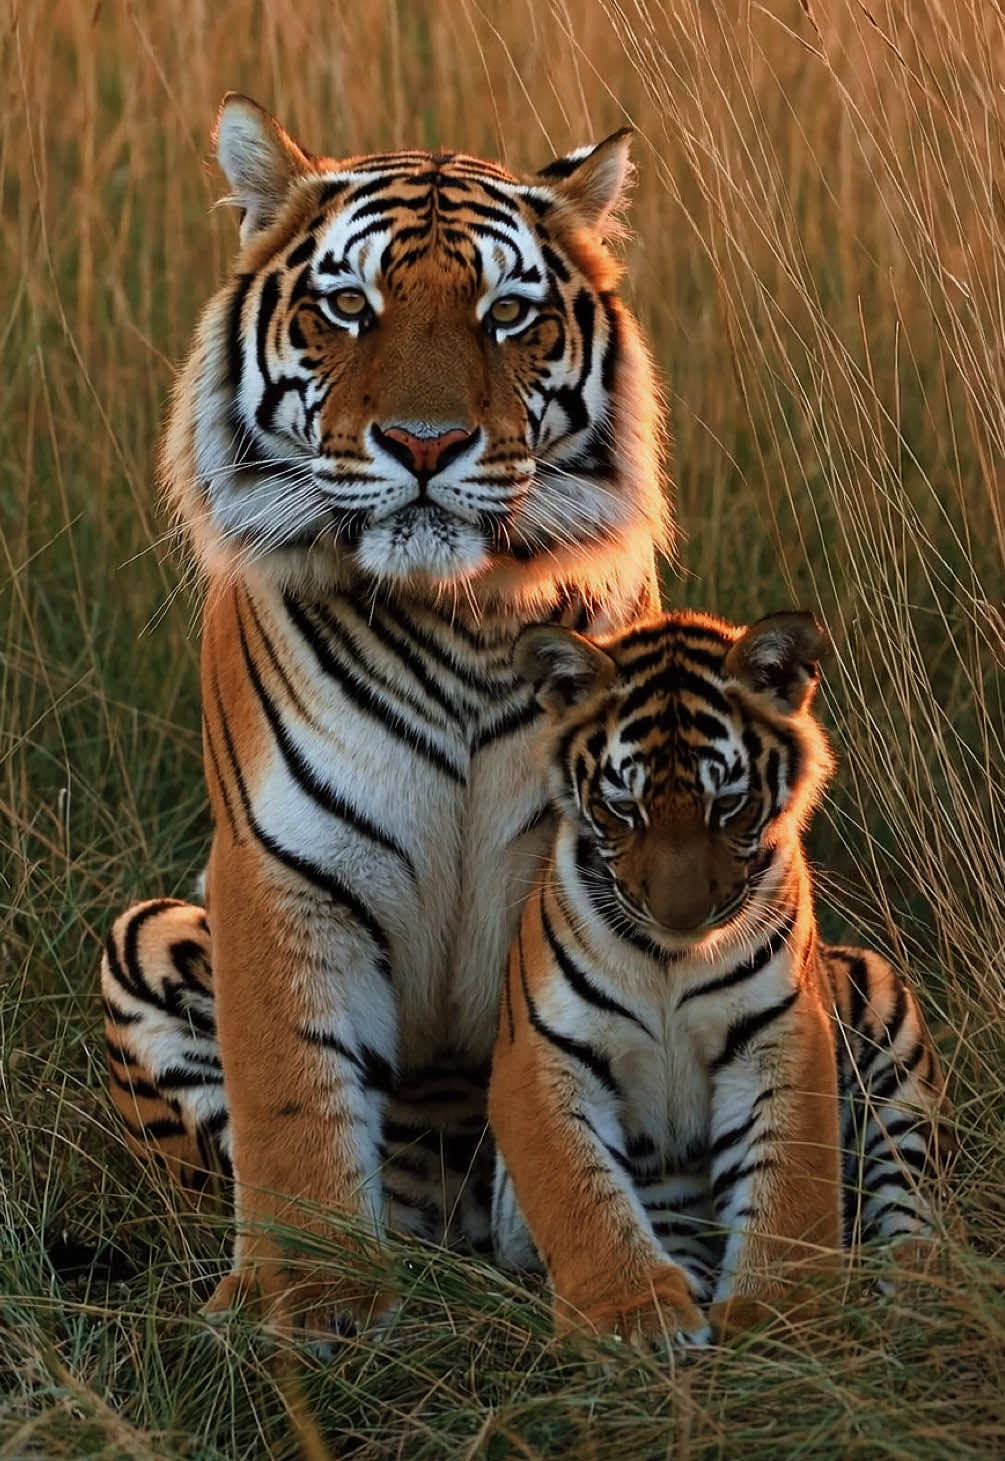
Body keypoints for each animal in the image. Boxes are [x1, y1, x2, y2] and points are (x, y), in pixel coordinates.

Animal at [99, 93, 670, 1337]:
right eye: (348, 306)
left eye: (509, 316)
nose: (422, 444)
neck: (458, 611)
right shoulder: (286, 867)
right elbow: (294, 1096)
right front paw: (310, 1297)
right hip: (146, 931)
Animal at [489, 608, 951, 1345]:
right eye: (624, 809)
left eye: (728, 805)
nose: (680, 915)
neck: (669, 960)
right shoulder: (540, 1053)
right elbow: (581, 1196)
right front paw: (634, 1320)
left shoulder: (779, 1035)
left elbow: (788, 1185)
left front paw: (780, 1316)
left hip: (880, 1008)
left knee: (911, 1202)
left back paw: (917, 1293)